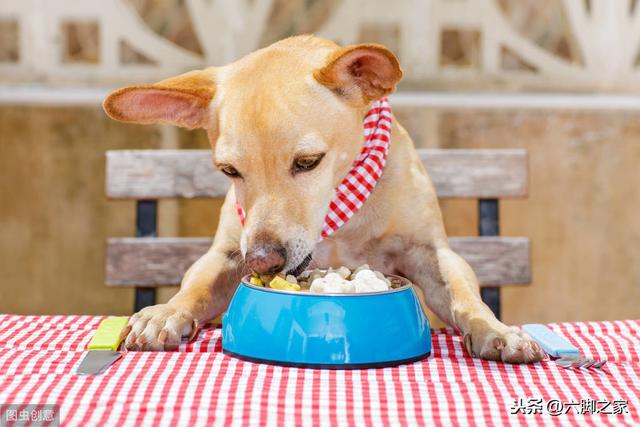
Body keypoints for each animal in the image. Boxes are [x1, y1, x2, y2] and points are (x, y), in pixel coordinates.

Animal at [105, 36, 544, 364]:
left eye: (308, 162)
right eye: (229, 171)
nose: (261, 260)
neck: (338, 212)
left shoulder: (431, 254)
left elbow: (465, 297)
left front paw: (496, 330)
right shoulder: (226, 255)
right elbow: (195, 287)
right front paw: (166, 311)